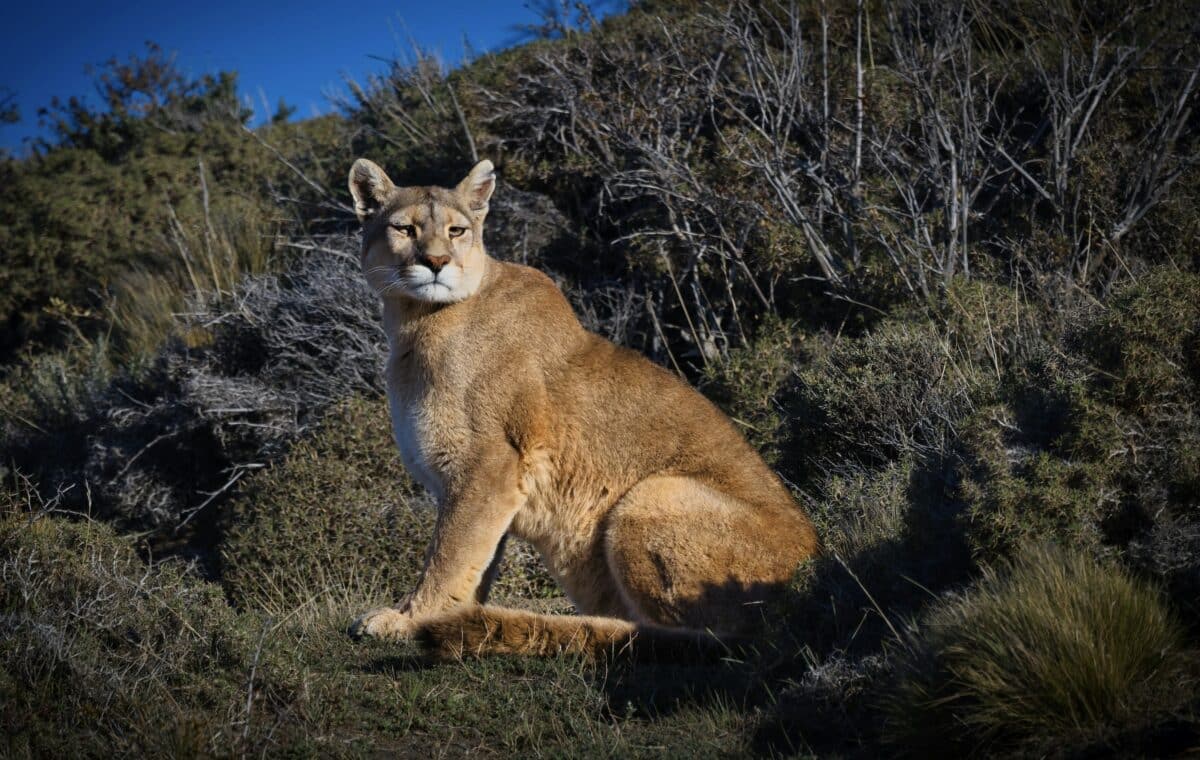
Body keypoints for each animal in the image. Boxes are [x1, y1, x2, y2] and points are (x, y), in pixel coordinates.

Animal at [346, 157, 818, 660]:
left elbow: (448, 554)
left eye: (457, 230)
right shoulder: (479, 483)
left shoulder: (488, 464)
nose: (436, 262)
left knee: (687, 638)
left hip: (652, 495)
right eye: (405, 228)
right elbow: (473, 562)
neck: (415, 322)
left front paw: (407, 620)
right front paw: (445, 616)